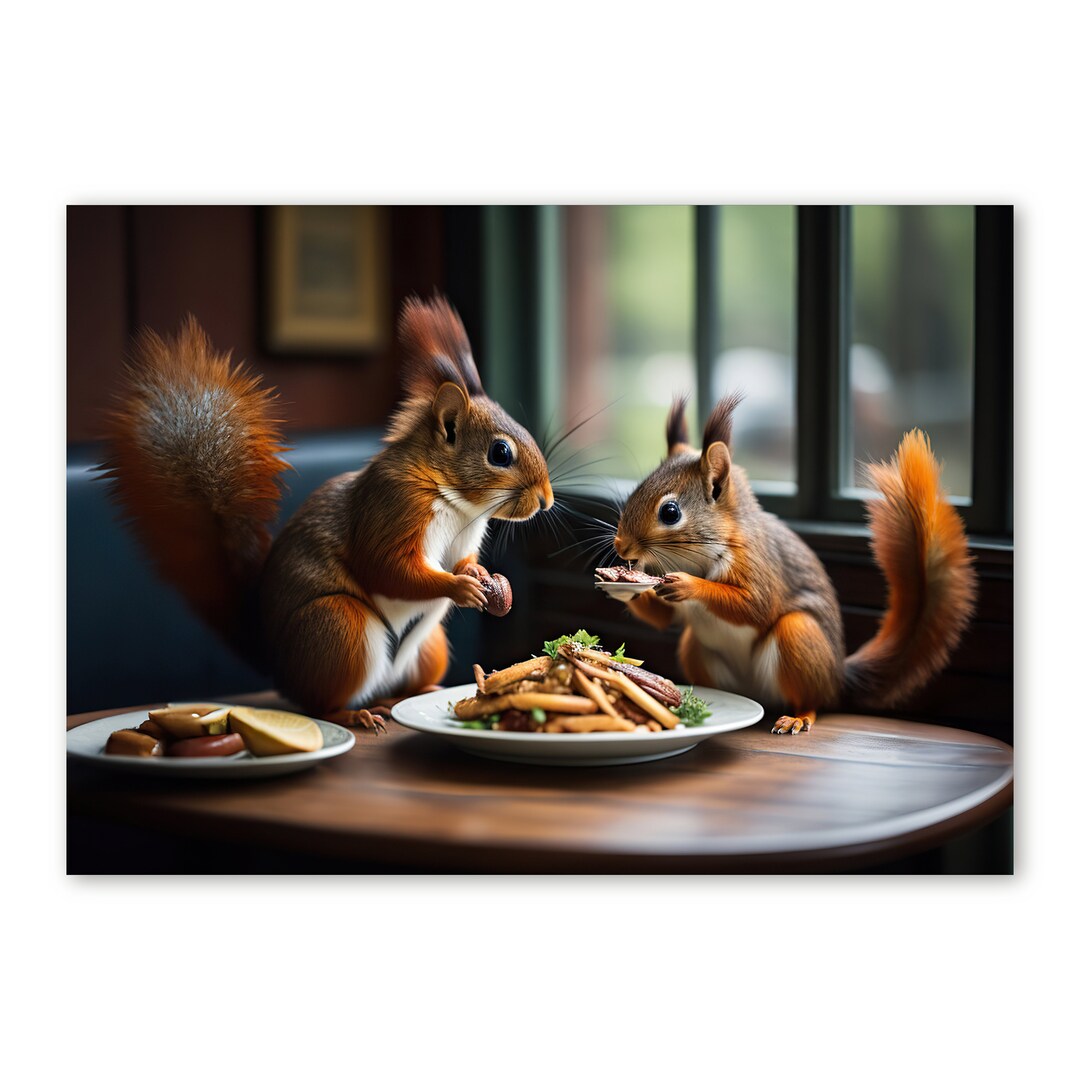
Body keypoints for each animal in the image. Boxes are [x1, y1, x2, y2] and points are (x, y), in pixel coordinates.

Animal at [97, 296, 554, 730]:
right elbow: (387, 569)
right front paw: (459, 588)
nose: (546, 500)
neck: (460, 504)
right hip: (337, 626)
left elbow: (459, 560)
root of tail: (279, 667)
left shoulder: (462, 537)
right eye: (500, 453)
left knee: (399, 684)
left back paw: (418, 693)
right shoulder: (392, 508)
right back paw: (355, 715)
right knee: (321, 704)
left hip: (429, 647)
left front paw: (477, 574)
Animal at [607, 392, 977, 733]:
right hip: (694, 648)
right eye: (637, 489)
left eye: (670, 512)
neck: (701, 554)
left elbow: (756, 606)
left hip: (799, 638)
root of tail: (836, 680)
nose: (621, 546)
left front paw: (688, 584)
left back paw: (798, 717)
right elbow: (664, 618)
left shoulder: (758, 562)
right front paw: (620, 588)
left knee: (811, 695)